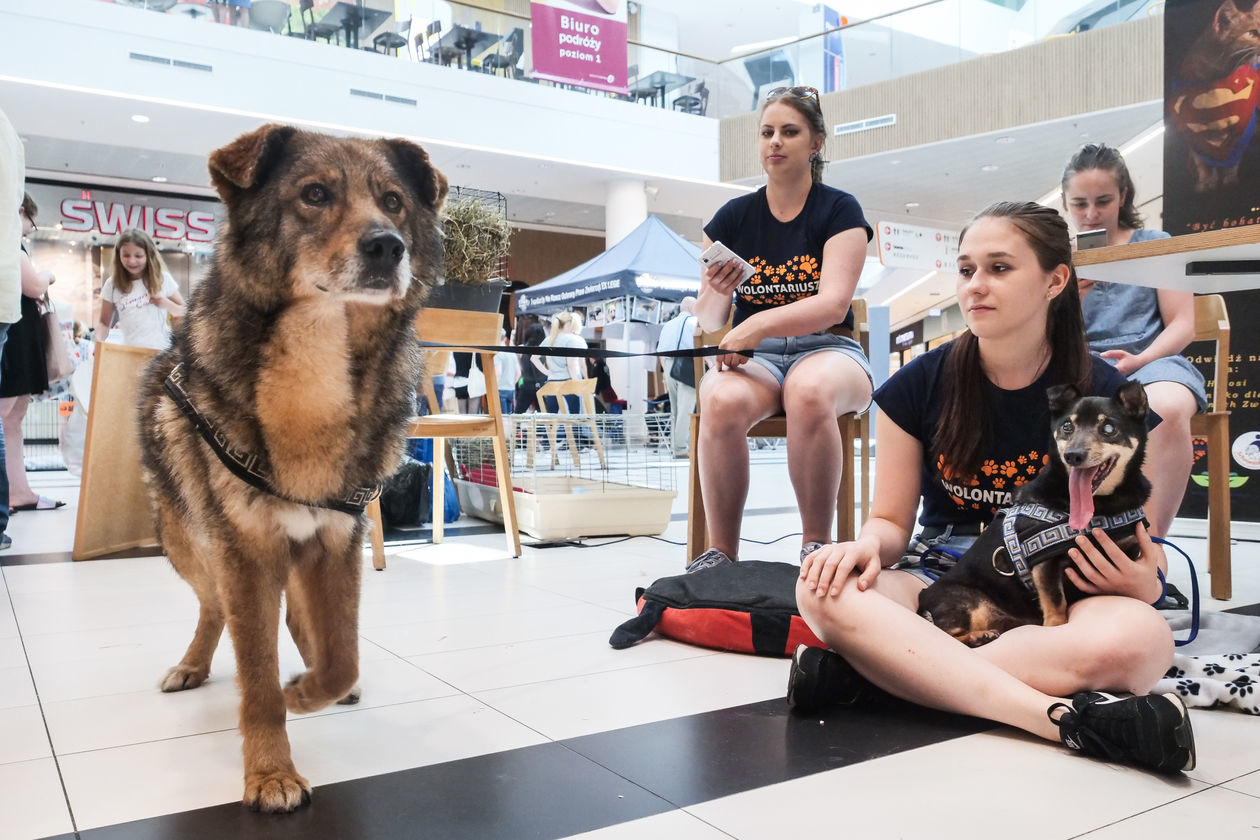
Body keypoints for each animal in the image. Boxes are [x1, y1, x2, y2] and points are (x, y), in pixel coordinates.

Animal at [137, 124, 447, 812]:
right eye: (314, 194)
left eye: (392, 202)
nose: (387, 247)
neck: (315, 366)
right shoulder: (245, 551)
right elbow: (256, 676)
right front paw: (271, 773)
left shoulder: (338, 540)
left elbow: (344, 653)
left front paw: (305, 691)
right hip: (187, 541)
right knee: (215, 608)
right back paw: (194, 663)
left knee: (305, 623)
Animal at [917, 381, 1150, 647]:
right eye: (1067, 427)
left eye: (1109, 428)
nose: (1073, 455)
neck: (1101, 507)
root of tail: (922, 599)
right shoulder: (1045, 563)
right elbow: (1056, 602)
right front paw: (1056, 627)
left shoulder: (1124, 556)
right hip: (964, 601)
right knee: (946, 634)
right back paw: (978, 636)